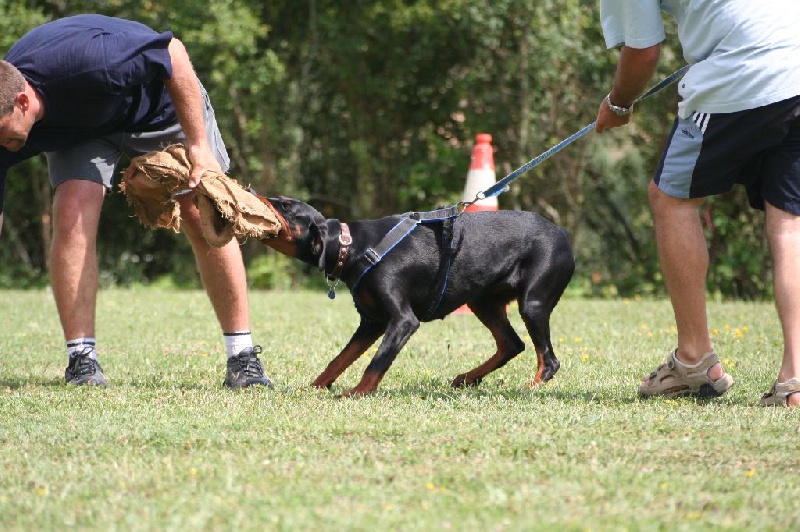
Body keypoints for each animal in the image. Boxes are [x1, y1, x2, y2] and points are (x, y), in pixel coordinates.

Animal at [258, 195, 576, 394]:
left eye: (286, 205)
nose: (250, 189)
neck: (355, 248)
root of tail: (563, 234)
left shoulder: (402, 320)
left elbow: (377, 361)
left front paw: (357, 392)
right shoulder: (371, 322)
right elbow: (339, 358)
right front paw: (313, 387)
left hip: (532, 303)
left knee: (548, 359)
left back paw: (529, 389)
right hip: (483, 302)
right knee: (511, 344)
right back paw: (467, 378)